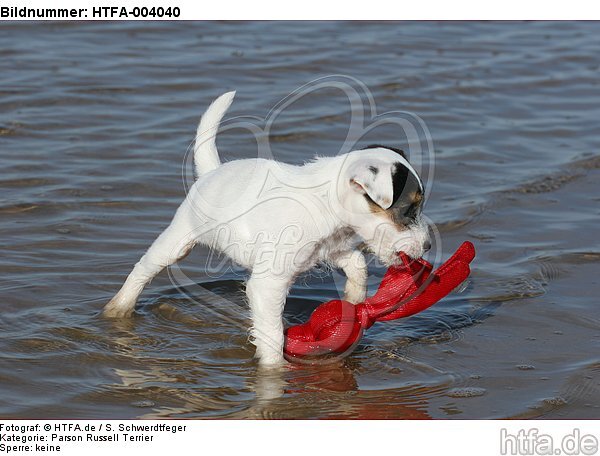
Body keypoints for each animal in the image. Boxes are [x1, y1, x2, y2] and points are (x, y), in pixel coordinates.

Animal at [104, 92, 432, 366]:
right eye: (408, 209)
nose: (428, 246)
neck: (323, 201)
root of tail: (213, 172)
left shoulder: (330, 249)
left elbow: (358, 265)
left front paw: (354, 301)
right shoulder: (268, 284)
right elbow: (272, 336)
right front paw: (274, 373)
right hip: (177, 240)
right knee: (142, 271)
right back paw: (117, 309)